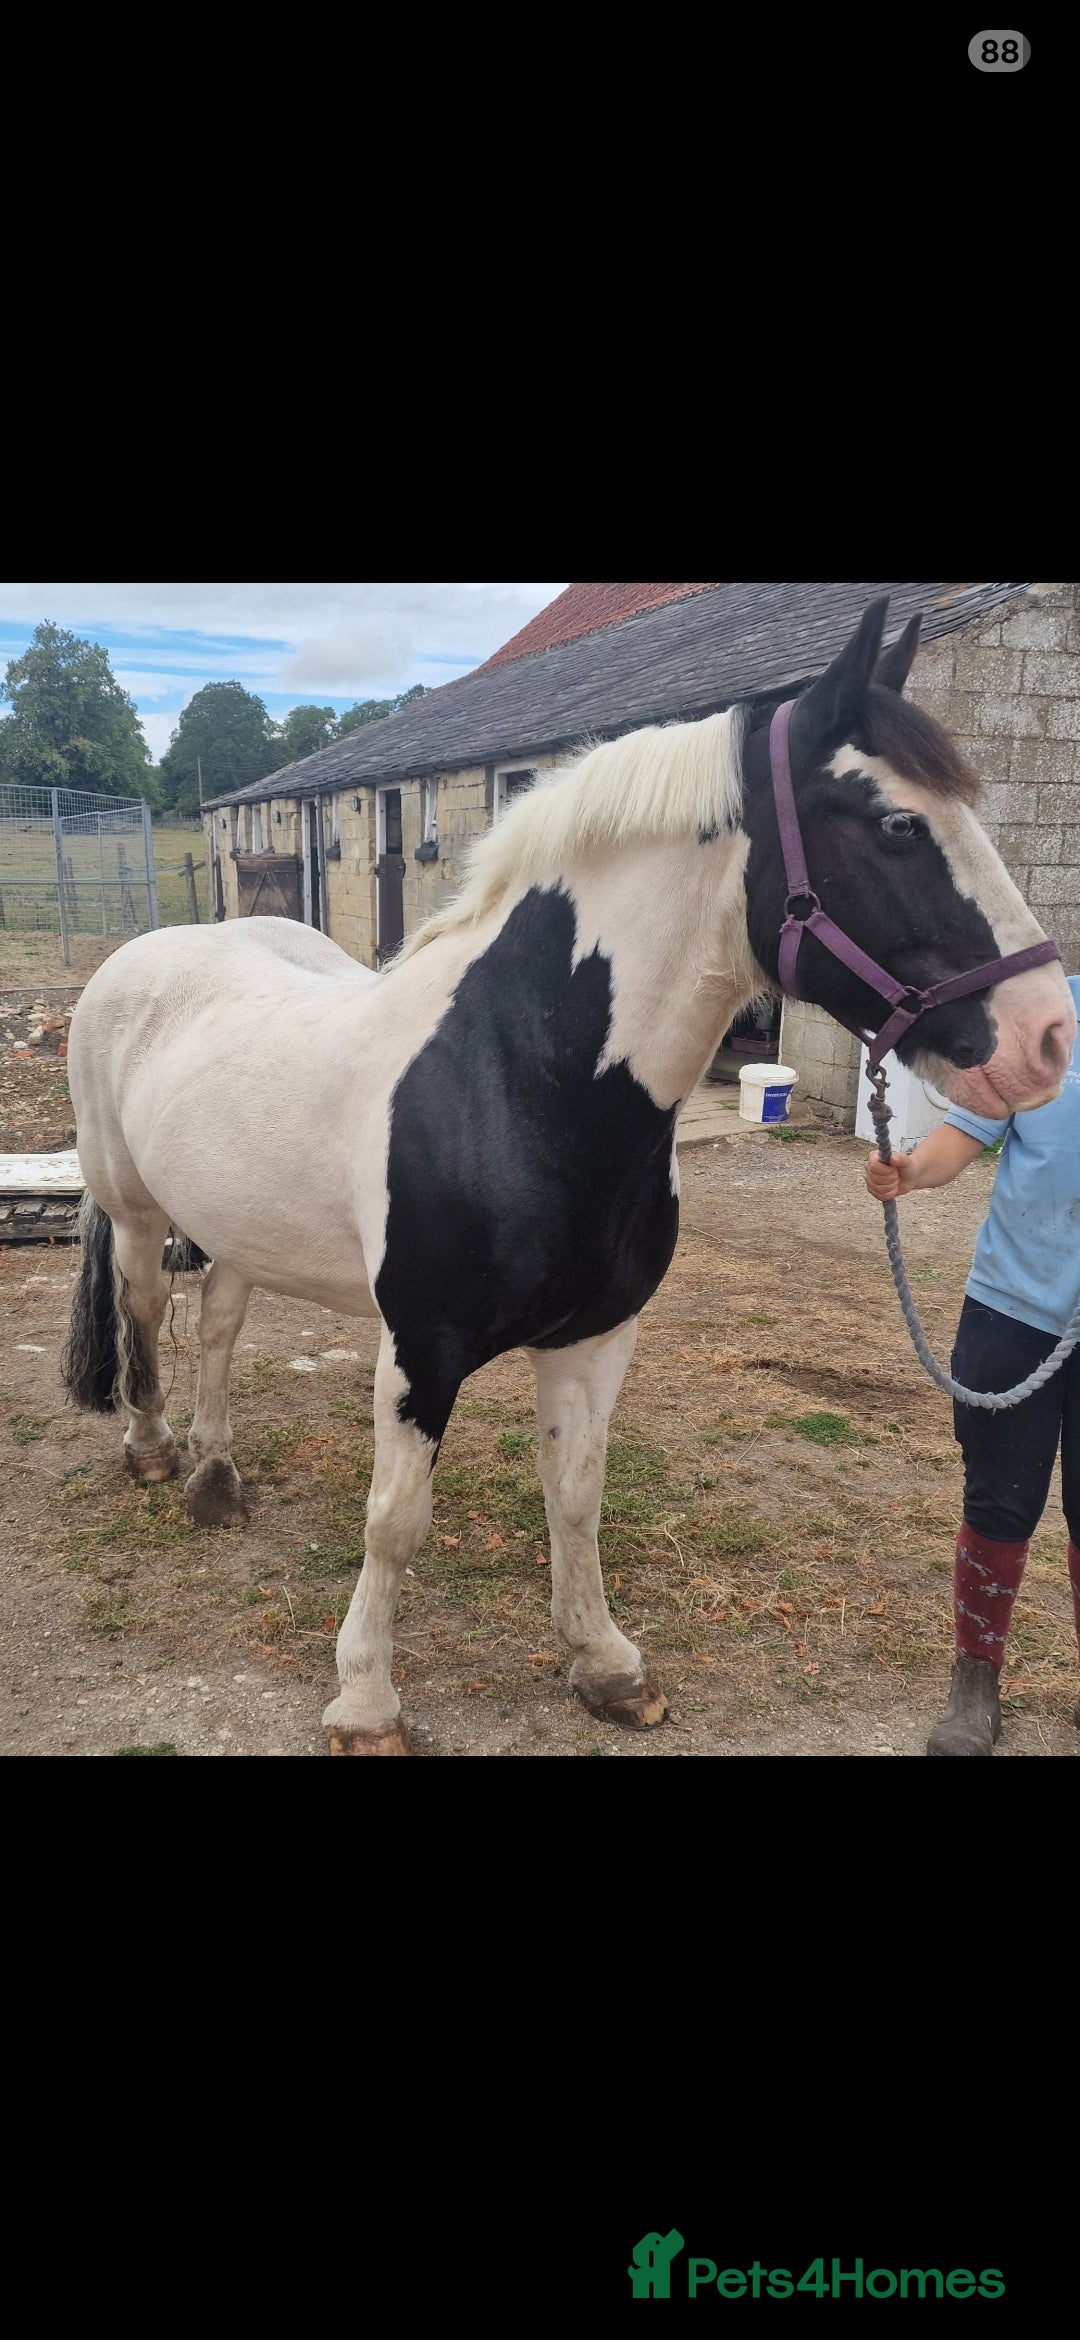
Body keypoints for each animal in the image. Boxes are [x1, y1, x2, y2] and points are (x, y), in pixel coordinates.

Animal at [61, 600, 1076, 1754]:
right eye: (898, 825)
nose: (1047, 1039)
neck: (515, 1078)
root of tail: (150, 955)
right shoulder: (422, 1347)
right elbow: (395, 1519)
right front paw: (365, 1699)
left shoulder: (597, 1337)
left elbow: (578, 1496)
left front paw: (606, 1663)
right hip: (136, 1212)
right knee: (149, 1313)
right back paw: (152, 1452)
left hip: (238, 1221)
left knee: (223, 1326)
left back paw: (215, 1472)